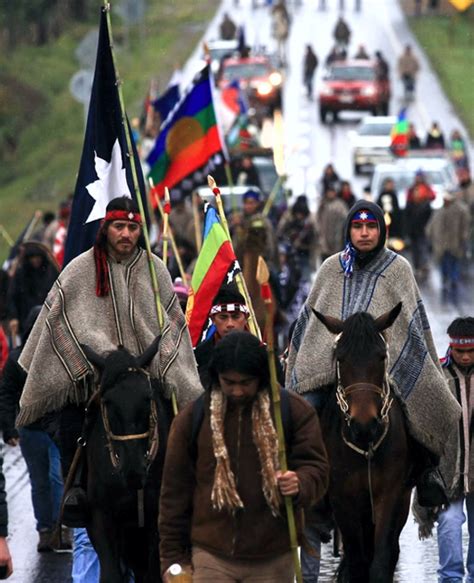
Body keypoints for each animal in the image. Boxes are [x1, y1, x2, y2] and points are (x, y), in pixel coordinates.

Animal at [81, 338, 172, 583]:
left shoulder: (156, 520)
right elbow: (111, 574)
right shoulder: (100, 517)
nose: (134, 472)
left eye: (148, 398)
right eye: (107, 401)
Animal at [314, 304, 412, 583]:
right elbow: (357, 563)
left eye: (381, 357)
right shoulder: (342, 500)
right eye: (340, 359)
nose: (364, 424)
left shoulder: (390, 495)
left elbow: (380, 561)